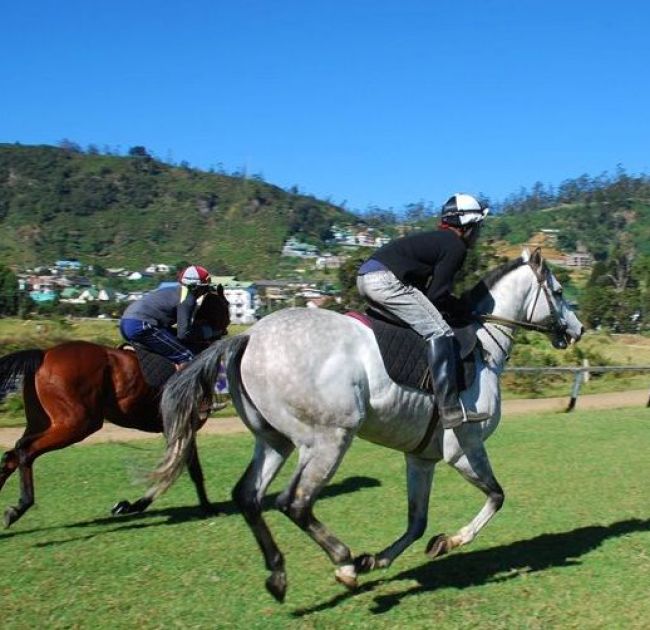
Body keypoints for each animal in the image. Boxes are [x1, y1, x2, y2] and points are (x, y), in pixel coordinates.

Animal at [0, 286, 230, 528]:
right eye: (226, 305)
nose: (227, 328)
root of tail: (44, 354)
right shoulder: (184, 425)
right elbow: (181, 469)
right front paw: (207, 507)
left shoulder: (177, 428)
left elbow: (183, 468)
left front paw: (129, 505)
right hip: (77, 423)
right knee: (25, 450)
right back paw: (20, 506)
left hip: (41, 420)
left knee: (12, 454)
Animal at [146, 247, 584, 604]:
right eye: (560, 292)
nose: (577, 331)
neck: (484, 344)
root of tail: (249, 336)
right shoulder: (463, 448)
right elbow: (496, 496)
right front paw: (450, 541)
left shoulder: (421, 458)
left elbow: (417, 521)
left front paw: (383, 558)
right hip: (329, 438)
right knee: (294, 501)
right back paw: (344, 564)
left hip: (274, 440)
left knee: (249, 496)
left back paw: (279, 574)